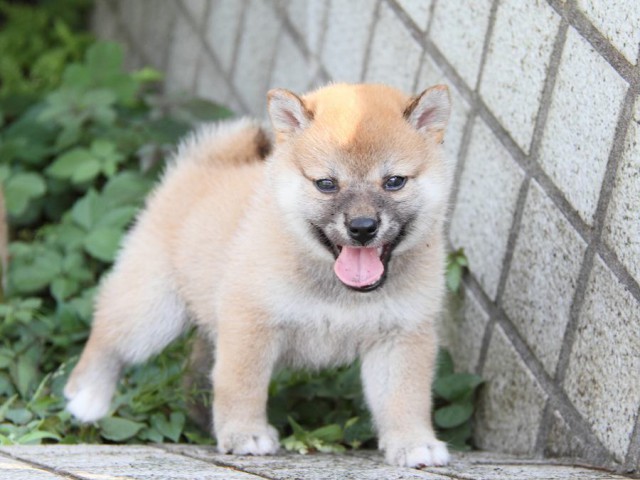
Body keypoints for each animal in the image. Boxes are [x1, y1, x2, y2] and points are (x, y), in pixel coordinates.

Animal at [65, 83, 452, 468]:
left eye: (394, 182)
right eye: (326, 183)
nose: (362, 227)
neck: (338, 288)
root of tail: (203, 166)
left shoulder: (401, 335)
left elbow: (405, 396)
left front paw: (413, 442)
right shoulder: (250, 323)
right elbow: (241, 384)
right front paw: (245, 433)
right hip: (153, 313)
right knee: (107, 335)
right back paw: (87, 397)